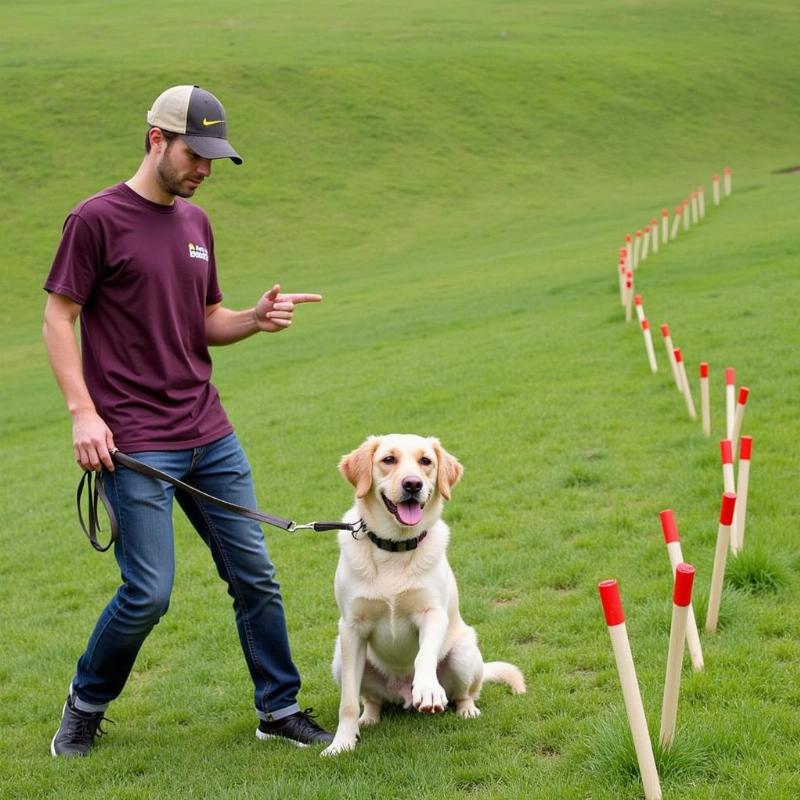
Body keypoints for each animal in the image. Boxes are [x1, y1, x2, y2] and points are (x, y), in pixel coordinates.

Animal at [322, 434, 528, 752]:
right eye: (389, 459)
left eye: (425, 461)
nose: (412, 484)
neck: (394, 547)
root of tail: (402, 693)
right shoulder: (351, 628)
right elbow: (347, 702)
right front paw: (341, 743)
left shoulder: (432, 614)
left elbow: (424, 655)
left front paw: (429, 689)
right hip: (339, 659)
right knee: (370, 699)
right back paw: (368, 718)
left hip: (463, 652)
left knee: (466, 693)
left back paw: (466, 709)